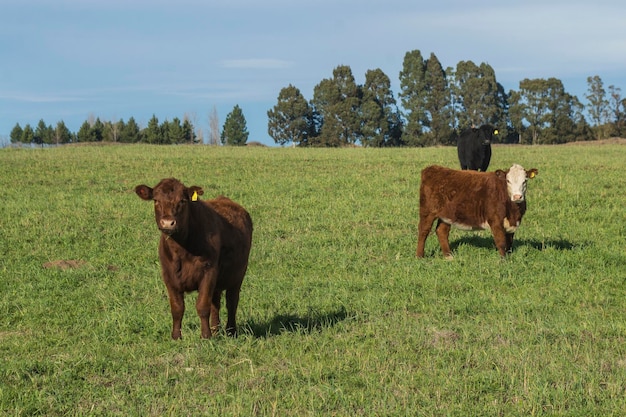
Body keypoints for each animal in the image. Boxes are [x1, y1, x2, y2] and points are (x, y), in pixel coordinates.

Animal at [135, 178, 252, 338]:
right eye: (156, 200)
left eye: (183, 201)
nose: (168, 223)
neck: (181, 251)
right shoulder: (169, 276)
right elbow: (177, 308)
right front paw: (176, 336)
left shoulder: (208, 272)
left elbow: (202, 306)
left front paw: (205, 336)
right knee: (216, 303)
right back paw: (216, 330)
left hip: (238, 275)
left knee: (231, 302)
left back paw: (230, 331)